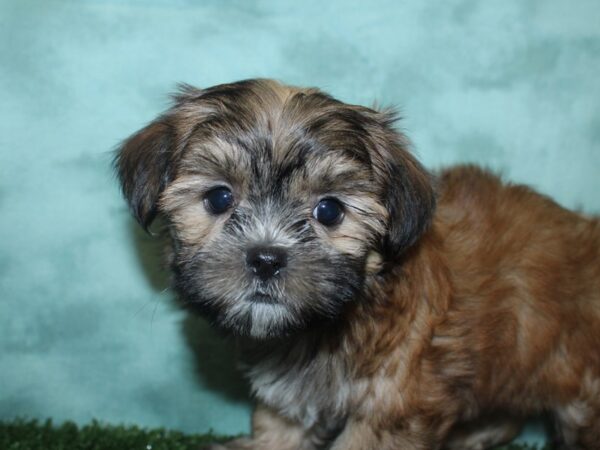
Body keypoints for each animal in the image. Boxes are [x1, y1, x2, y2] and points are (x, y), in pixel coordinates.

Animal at [116, 79, 600, 448]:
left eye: (329, 211)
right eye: (219, 198)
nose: (267, 258)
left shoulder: (392, 408)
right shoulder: (290, 401)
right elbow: (277, 432)